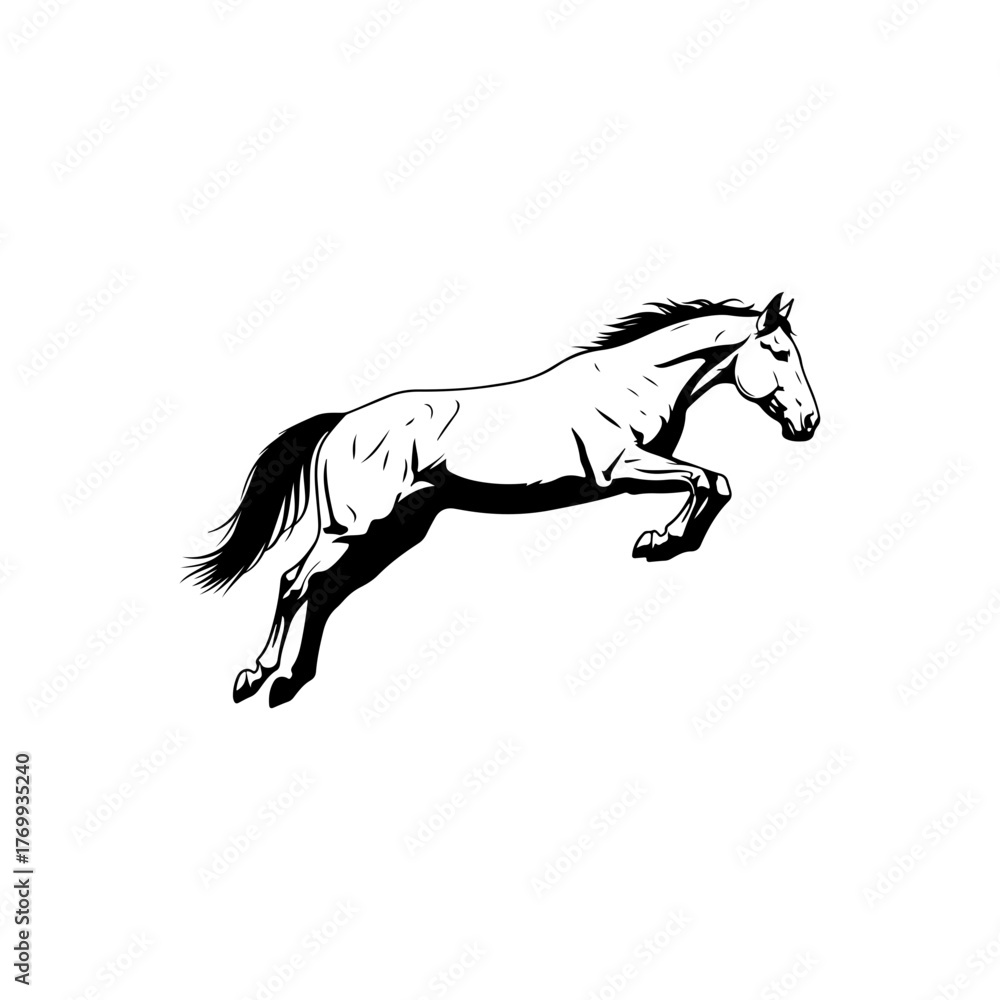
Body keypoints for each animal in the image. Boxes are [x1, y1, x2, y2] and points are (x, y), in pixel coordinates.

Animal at [187, 293, 819, 707]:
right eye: (780, 354)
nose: (808, 423)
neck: (633, 384)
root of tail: (341, 424)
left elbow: (714, 482)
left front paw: (667, 541)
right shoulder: (618, 469)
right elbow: (706, 480)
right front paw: (660, 540)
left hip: (395, 529)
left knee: (322, 591)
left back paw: (290, 682)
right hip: (351, 526)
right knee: (294, 583)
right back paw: (258, 677)